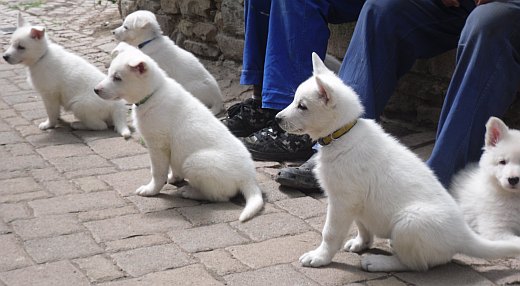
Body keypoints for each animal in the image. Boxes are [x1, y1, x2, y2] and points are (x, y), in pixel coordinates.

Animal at [3, 13, 131, 139]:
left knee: (100, 125)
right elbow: (55, 111)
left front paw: (49, 124)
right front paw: (58, 120)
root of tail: (117, 106)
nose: (4, 57)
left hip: (78, 105)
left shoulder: (50, 94)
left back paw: (78, 125)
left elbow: (51, 111)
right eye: (11, 44)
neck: (42, 57)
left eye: (21, 47)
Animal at [94, 43, 264, 221]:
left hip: (195, 162)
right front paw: (174, 178)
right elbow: (172, 166)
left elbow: (157, 172)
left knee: (220, 196)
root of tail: (249, 178)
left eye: (117, 78)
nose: (95, 90)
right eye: (110, 74)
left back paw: (190, 192)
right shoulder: (170, 148)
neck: (154, 93)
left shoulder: (157, 145)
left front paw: (151, 190)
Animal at [278, 52, 520, 272]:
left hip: (409, 224)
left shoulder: (342, 200)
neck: (343, 134)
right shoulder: (357, 202)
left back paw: (379, 263)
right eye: (294, 100)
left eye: (302, 106)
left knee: (416, 265)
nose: (277, 118)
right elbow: (362, 225)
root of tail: (463, 236)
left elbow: (330, 233)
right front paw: (361, 243)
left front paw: (320, 257)